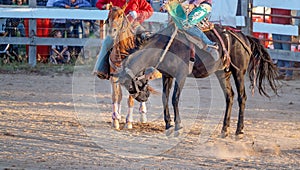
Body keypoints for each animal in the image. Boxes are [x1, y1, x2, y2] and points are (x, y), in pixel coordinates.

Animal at [116, 21, 278, 137]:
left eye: (130, 86)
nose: (143, 97)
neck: (165, 47)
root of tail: (244, 37)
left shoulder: (181, 75)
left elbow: (174, 98)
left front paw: (178, 126)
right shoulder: (167, 76)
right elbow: (164, 98)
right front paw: (168, 125)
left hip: (238, 72)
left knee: (242, 97)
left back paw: (239, 131)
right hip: (222, 72)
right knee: (230, 96)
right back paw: (224, 130)